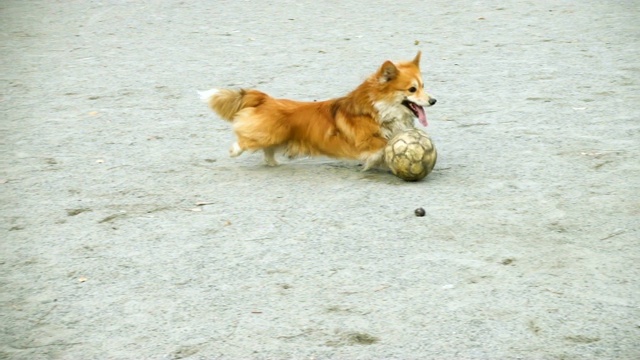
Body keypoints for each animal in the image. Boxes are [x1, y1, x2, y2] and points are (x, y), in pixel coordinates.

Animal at [200, 51, 436, 170]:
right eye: (412, 89)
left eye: (423, 86)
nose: (433, 101)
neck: (377, 108)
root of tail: (265, 99)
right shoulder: (366, 141)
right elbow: (384, 145)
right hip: (267, 134)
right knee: (246, 141)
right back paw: (235, 150)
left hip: (276, 137)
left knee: (268, 151)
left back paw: (274, 163)